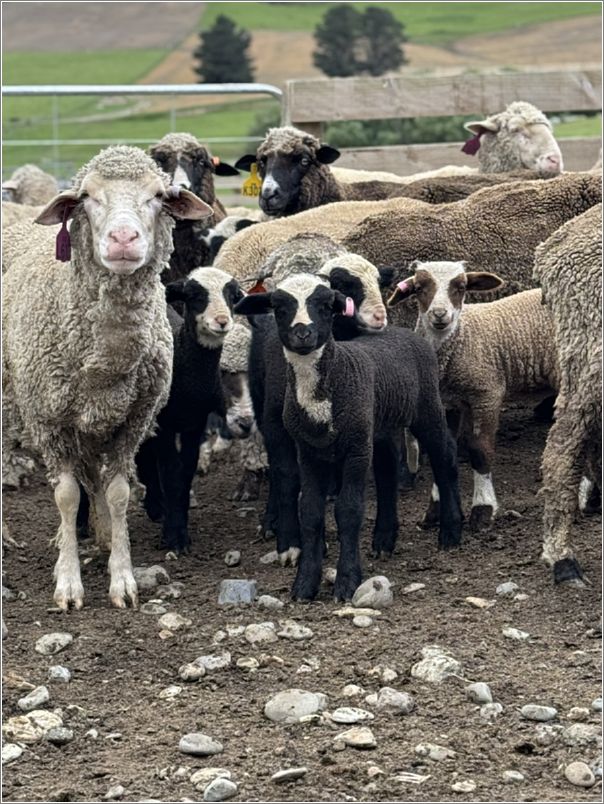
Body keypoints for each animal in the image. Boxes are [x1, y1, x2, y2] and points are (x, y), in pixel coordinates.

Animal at [134, 270, 243, 552]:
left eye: (232, 295)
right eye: (194, 295)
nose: (222, 321)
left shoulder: (195, 424)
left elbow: (185, 471)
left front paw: (180, 527)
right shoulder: (163, 424)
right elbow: (171, 472)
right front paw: (173, 538)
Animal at [236, 274, 462, 600]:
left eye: (326, 305)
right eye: (279, 307)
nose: (302, 333)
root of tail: (404, 332)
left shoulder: (355, 449)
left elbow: (349, 511)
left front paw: (346, 581)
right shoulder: (310, 451)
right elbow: (311, 511)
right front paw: (304, 584)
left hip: (426, 407)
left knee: (445, 456)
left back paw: (451, 531)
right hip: (379, 426)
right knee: (387, 471)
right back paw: (384, 539)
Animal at [390, 260, 560, 532]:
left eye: (460, 287)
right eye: (419, 287)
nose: (440, 314)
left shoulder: (487, 393)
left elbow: (480, 451)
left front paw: (482, 510)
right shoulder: (448, 402)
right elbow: (443, 452)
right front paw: (437, 510)